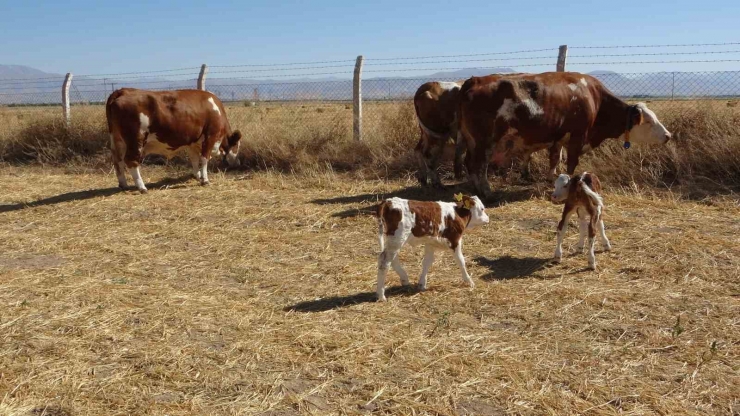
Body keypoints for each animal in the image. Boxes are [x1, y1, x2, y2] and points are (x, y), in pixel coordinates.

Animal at [105, 88, 240, 193]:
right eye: (236, 146)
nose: (238, 163)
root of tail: (123, 91)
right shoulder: (210, 137)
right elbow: (204, 159)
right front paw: (205, 180)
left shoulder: (192, 143)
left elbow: (194, 159)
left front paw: (197, 175)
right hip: (136, 140)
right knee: (131, 161)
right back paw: (142, 187)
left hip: (118, 141)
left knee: (118, 161)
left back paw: (124, 185)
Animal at [456, 72, 672, 197]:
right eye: (649, 121)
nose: (668, 135)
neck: (594, 97)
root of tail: (474, 80)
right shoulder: (577, 137)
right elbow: (571, 163)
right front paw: (569, 183)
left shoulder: (558, 138)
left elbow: (554, 159)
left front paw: (553, 178)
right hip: (485, 140)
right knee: (479, 164)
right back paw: (486, 190)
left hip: (470, 139)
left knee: (468, 162)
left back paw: (474, 186)